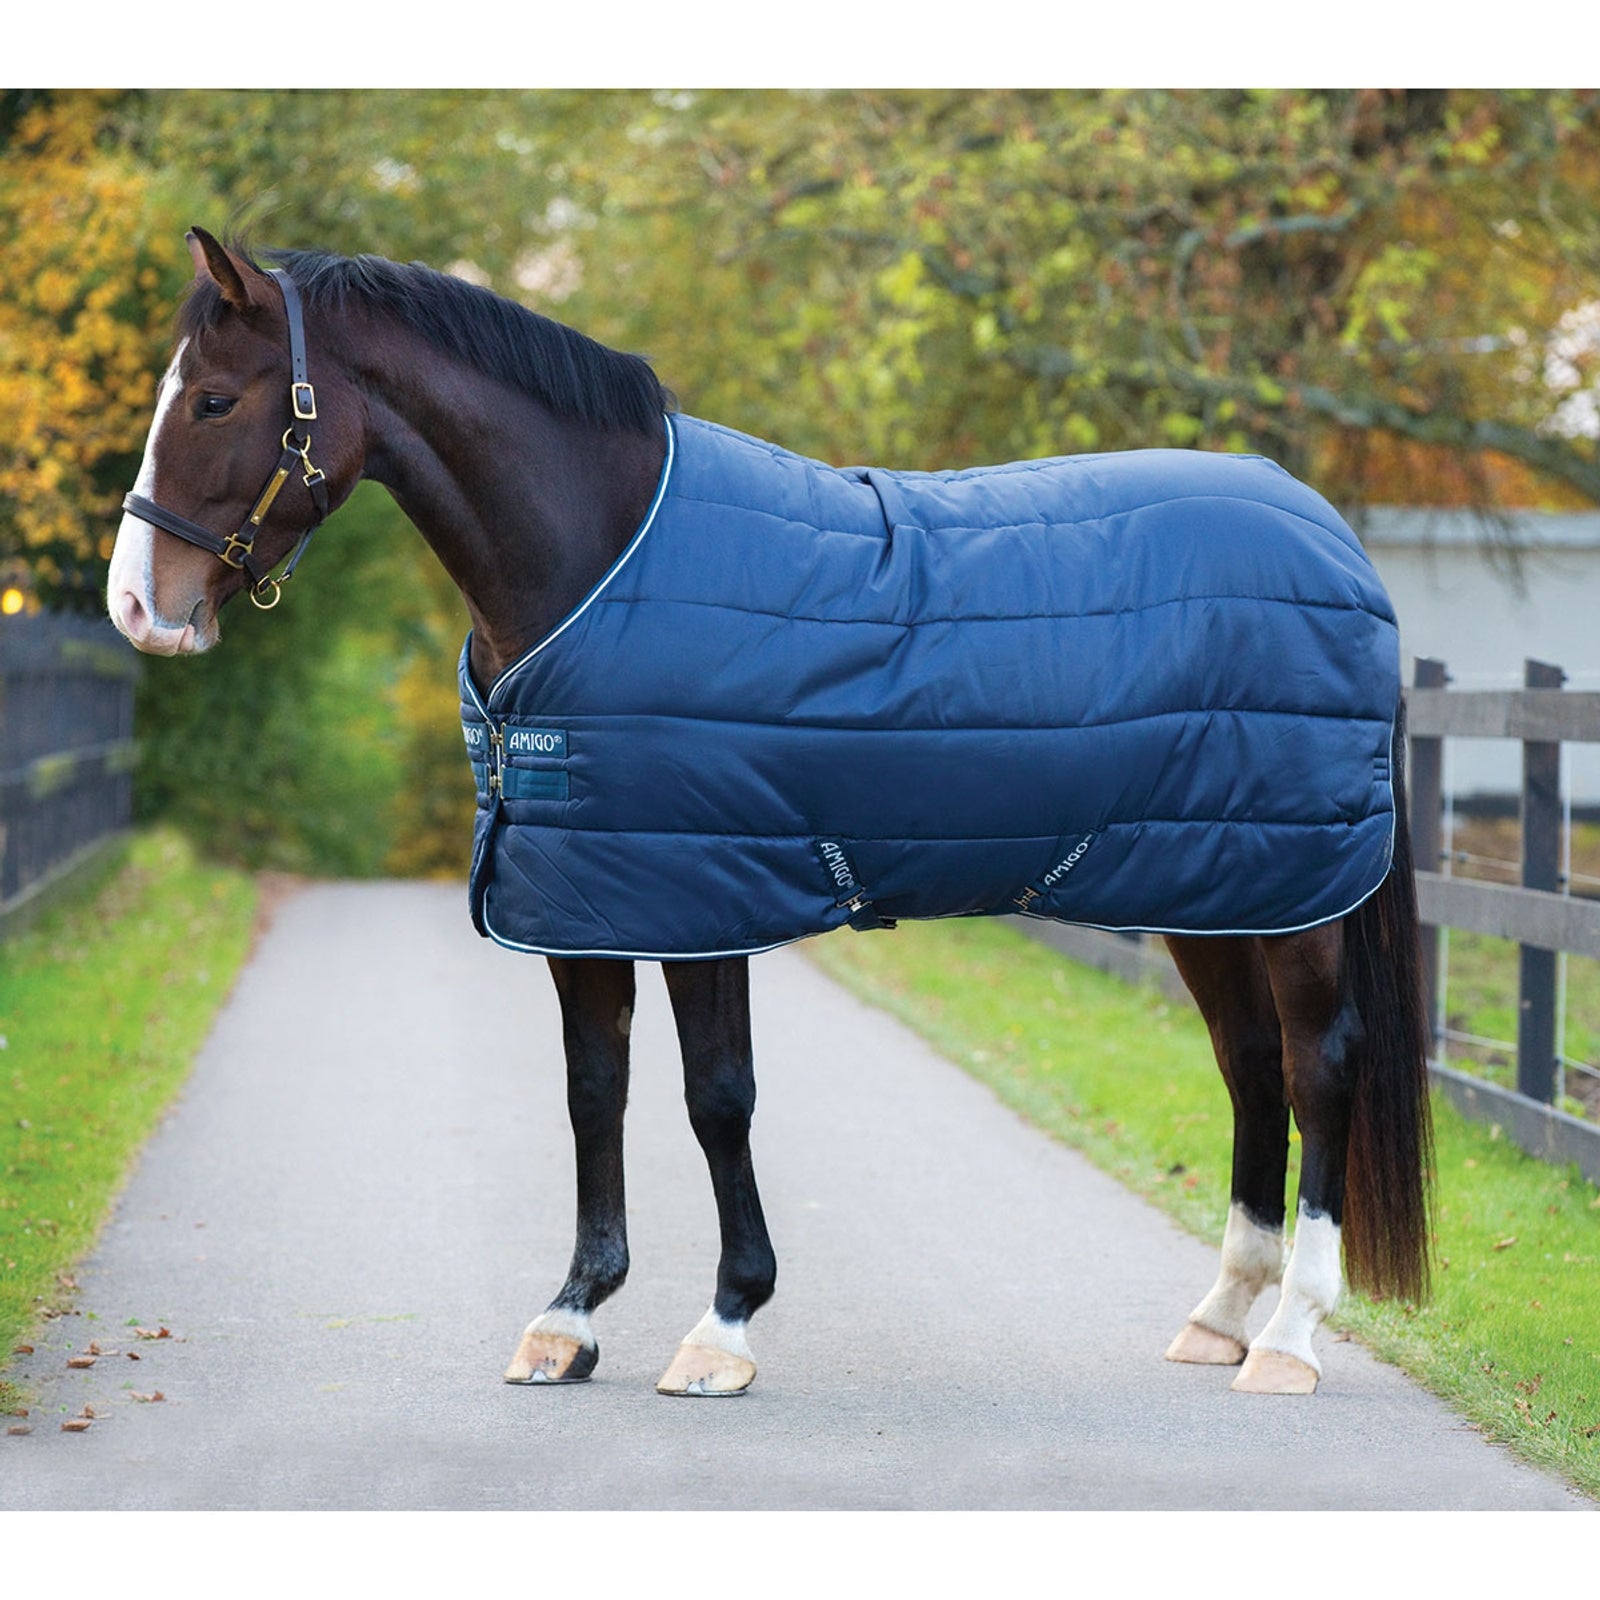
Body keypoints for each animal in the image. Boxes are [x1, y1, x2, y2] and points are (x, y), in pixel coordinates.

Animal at [107, 227, 1432, 1398]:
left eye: (214, 401)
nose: (138, 605)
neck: (598, 565)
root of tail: (1334, 538)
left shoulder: (704, 899)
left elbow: (716, 1101)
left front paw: (723, 1326)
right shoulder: (587, 904)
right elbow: (594, 1092)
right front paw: (570, 1317)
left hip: (1298, 899)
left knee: (1318, 1066)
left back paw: (1288, 1338)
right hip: (1221, 888)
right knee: (1250, 1067)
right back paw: (1220, 1317)